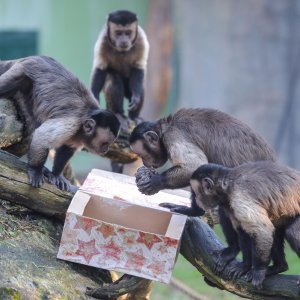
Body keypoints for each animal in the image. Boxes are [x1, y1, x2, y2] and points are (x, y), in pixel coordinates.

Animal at [0, 55, 119, 191]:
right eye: (105, 143)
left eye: (108, 144)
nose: (106, 149)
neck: (83, 122)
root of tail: (30, 57)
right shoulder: (72, 123)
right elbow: (42, 137)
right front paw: (35, 170)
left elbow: (67, 147)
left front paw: (56, 174)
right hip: (21, 70)